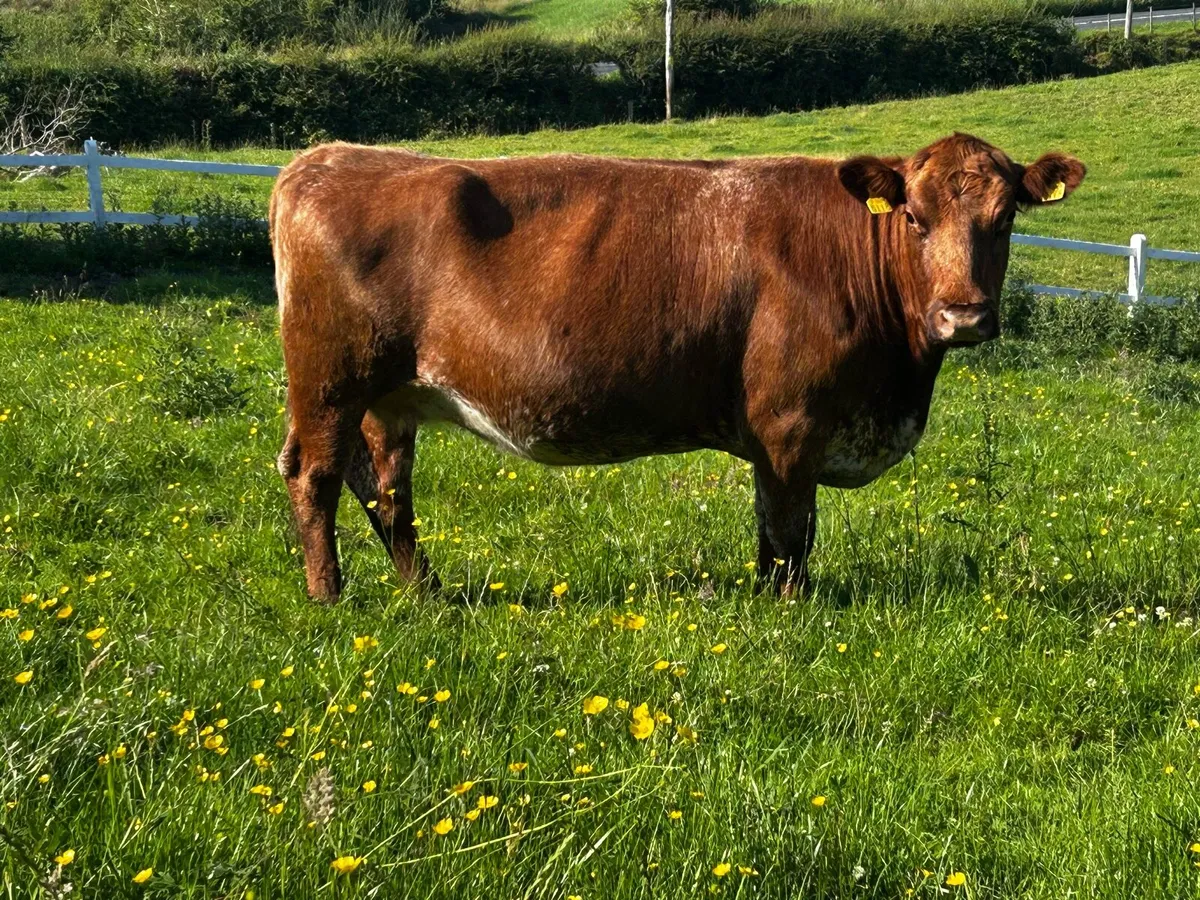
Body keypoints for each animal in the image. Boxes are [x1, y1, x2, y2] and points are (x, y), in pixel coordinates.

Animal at [269, 133, 1085, 602]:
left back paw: (428, 593)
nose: (964, 315)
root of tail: (326, 157)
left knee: (385, 487)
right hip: (330, 378)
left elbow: (773, 528)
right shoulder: (791, 424)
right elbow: (791, 531)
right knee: (315, 473)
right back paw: (329, 599)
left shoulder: (781, 436)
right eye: (913, 216)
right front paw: (789, 612)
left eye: (1006, 218)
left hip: (391, 395)